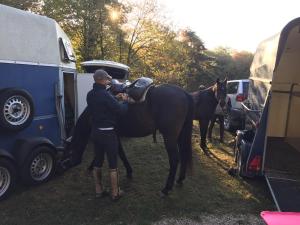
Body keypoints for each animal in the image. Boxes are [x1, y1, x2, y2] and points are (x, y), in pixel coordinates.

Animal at [64, 83, 193, 196]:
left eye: (70, 151)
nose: (67, 164)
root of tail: (183, 92)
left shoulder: (113, 135)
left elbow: (120, 153)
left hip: (169, 137)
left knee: (175, 159)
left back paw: (166, 189)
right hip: (180, 135)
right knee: (184, 154)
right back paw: (180, 180)